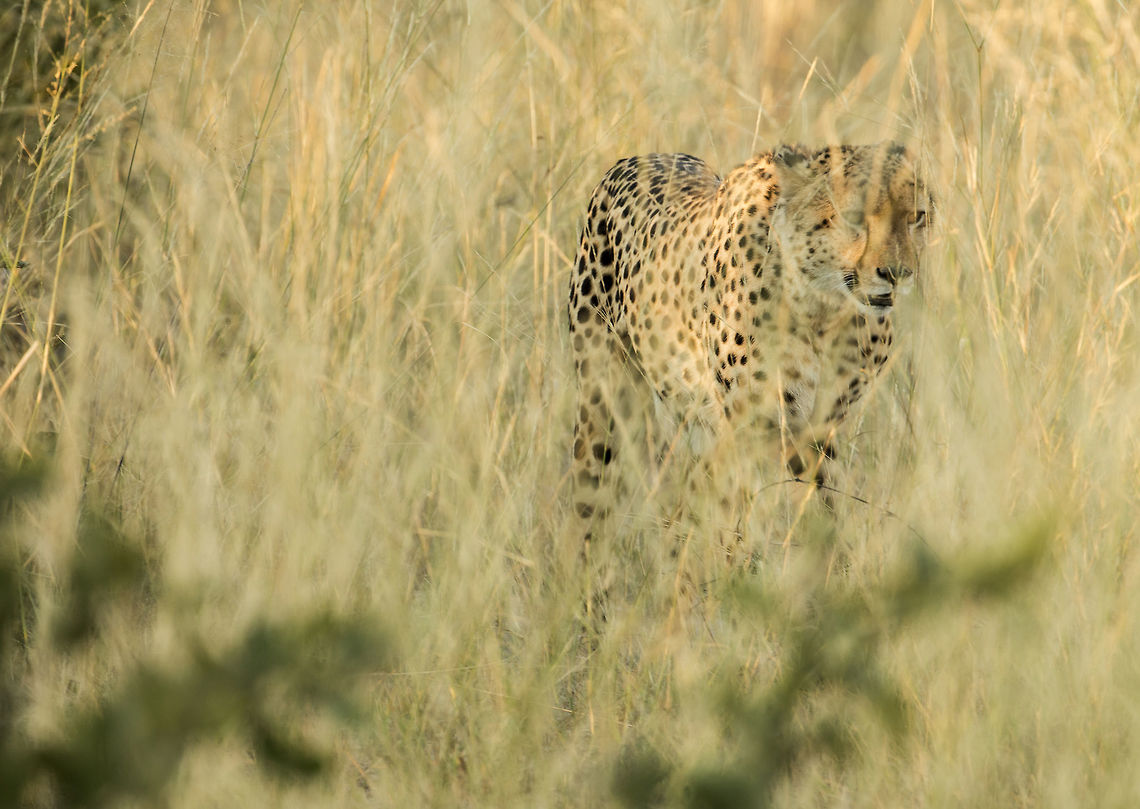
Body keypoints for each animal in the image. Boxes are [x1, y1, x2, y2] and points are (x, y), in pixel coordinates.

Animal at [567, 142, 933, 543]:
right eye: (853, 216)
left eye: (917, 216)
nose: (897, 273)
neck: (821, 304)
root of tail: (642, 156)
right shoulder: (753, 428)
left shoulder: (819, 428)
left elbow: (822, 506)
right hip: (602, 404)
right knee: (590, 496)